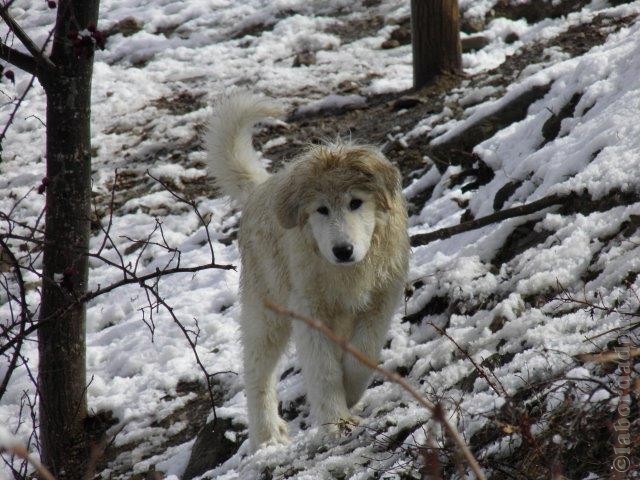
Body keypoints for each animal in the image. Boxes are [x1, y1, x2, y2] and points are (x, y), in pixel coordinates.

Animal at [205, 93, 408, 450]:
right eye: (321, 210)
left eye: (356, 202)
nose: (343, 251)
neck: (348, 273)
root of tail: (259, 190)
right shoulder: (309, 311)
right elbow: (322, 368)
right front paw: (337, 422)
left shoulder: (382, 300)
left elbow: (363, 352)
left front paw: (350, 394)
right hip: (266, 313)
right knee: (257, 373)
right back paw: (267, 436)